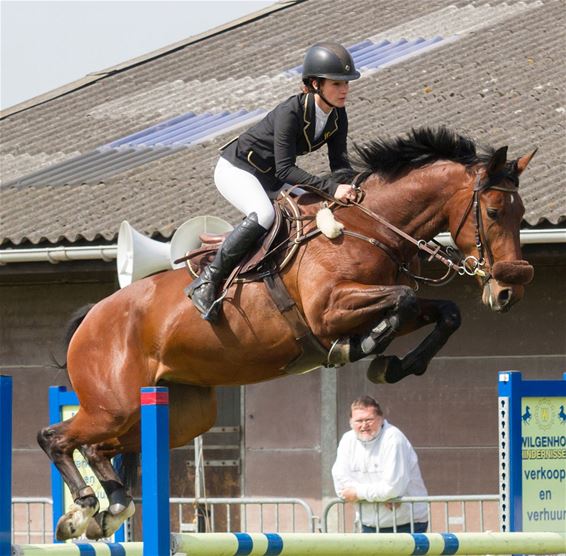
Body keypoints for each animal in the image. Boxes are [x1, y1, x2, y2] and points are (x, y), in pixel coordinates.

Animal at [38, 127, 536, 540]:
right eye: (494, 211)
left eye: (522, 213)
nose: (508, 291)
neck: (369, 228)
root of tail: (92, 317)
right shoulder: (330, 310)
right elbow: (404, 301)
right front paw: (363, 350)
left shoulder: (377, 302)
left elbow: (443, 312)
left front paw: (395, 364)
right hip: (115, 404)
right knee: (56, 438)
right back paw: (84, 507)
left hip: (179, 414)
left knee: (100, 446)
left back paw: (111, 507)